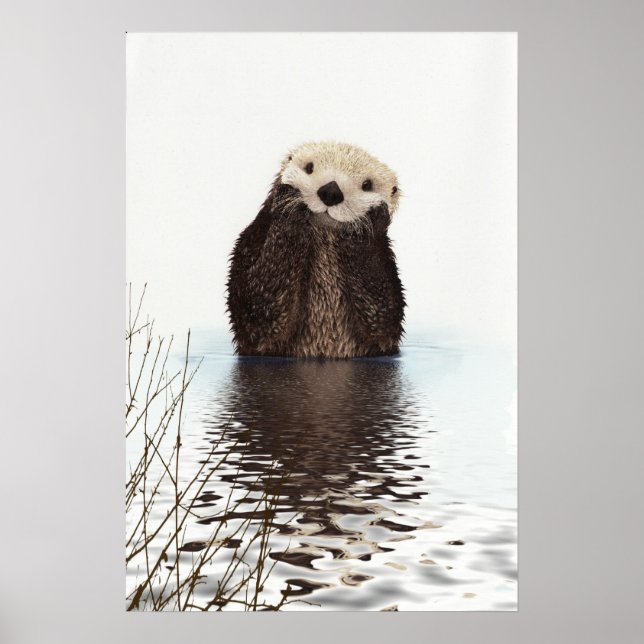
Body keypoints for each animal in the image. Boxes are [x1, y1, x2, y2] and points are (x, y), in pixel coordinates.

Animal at [226, 141, 405, 358]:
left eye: (367, 185)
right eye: (309, 167)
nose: (331, 191)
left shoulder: (386, 268)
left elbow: (382, 315)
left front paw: (368, 220)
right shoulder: (251, 242)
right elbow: (258, 309)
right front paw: (289, 202)